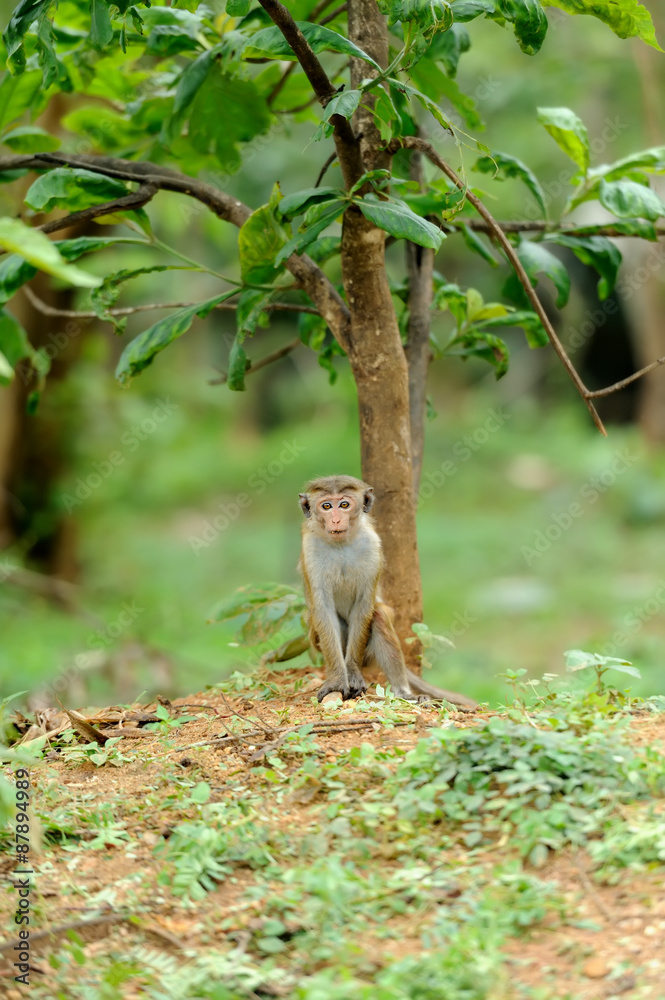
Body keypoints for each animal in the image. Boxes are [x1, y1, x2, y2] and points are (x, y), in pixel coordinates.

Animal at [296, 472, 478, 708]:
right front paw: (337, 679)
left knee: (380, 615)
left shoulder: (372, 545)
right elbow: (323, 609)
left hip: (369, 655)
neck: (340, 545)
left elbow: (364, 605)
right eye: (326, 506)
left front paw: (352, 672)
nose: (335, 519)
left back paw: (404, 693)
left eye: (344, 504)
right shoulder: (310, 549)